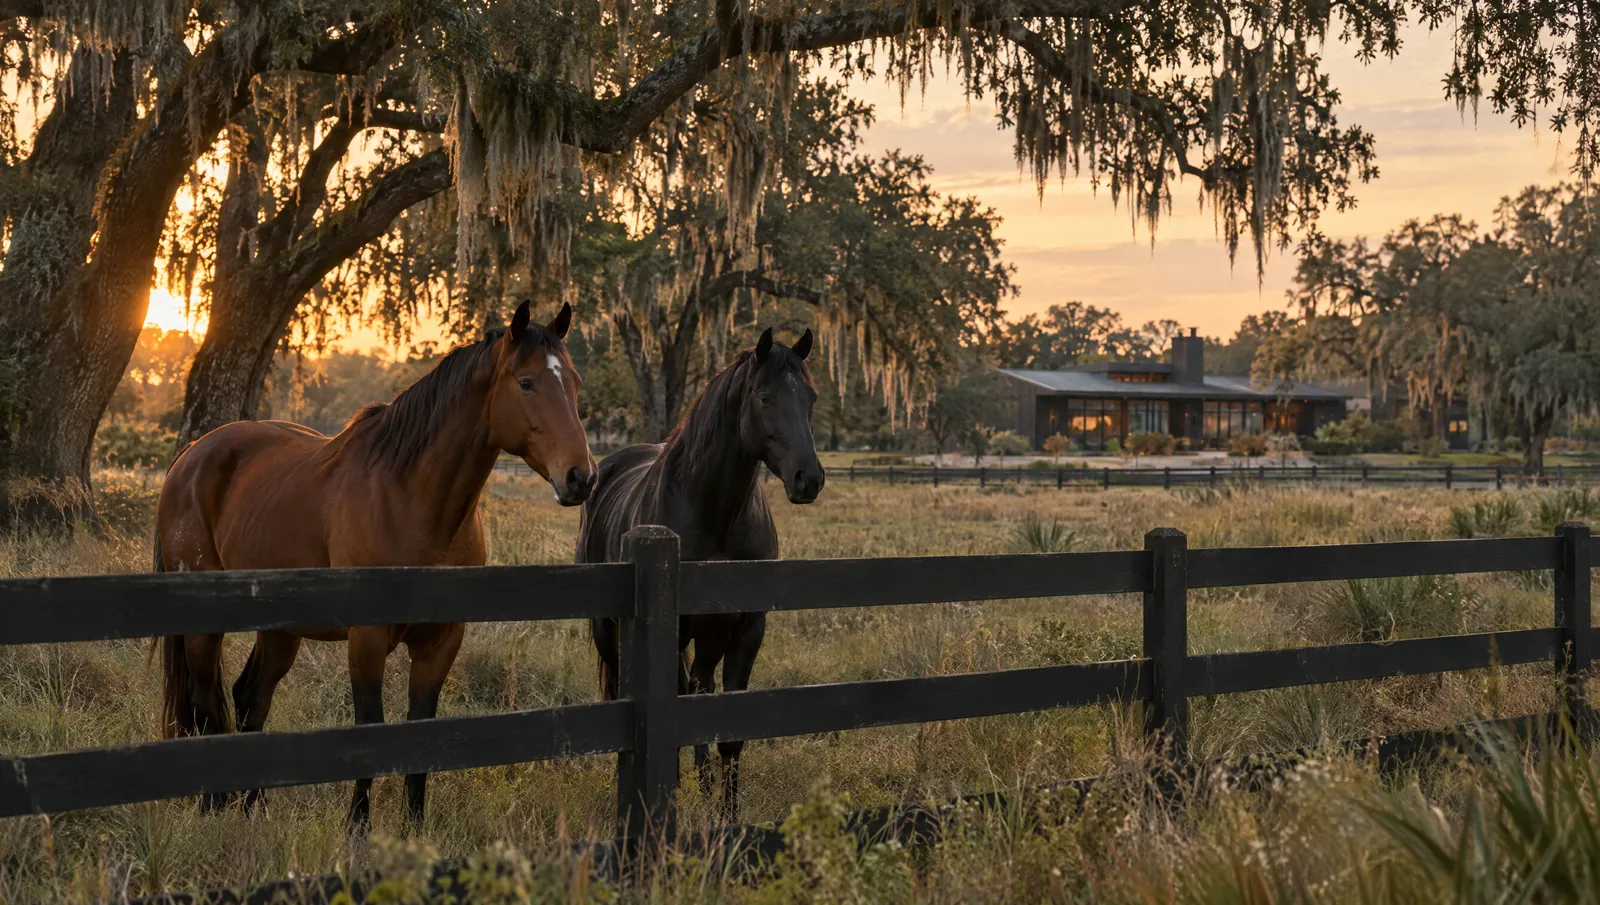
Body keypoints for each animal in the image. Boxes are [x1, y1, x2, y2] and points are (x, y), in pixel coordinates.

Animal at [153, 300, 596, 832]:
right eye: (526, 382)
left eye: (575, 383)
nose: (581, 477)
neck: (411, 501)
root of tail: (190, 457)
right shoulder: (366, 638)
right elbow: (370, 727)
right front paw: (358, 830)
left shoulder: (440, 642)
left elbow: (418, 733)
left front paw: (413, 831)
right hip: (204, 626)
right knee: (204, 703)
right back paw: (212, 805)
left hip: (281, 629)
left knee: (250, 698)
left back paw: (253, 808)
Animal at [578, 327, 825, 822]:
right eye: (765, 397)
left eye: (810, 397)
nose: (809, 479)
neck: (713, 515)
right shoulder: (671, 629)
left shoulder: (747, 628)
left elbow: (726, 728)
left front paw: (727, 817)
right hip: (608, 629)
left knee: (699, 689)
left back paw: (706, 783)